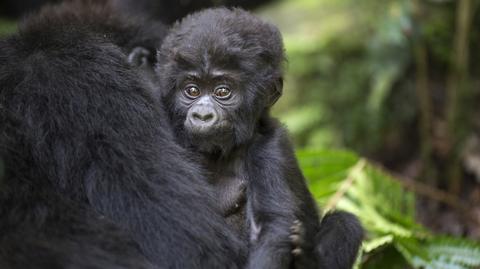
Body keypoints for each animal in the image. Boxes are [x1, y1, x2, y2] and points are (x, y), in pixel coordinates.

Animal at [158, 7, 364, 266]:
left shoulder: (270, 148)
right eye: (192, 90)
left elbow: (270, 228)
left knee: (346, 222)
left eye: (222, 91)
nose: (202, 115)